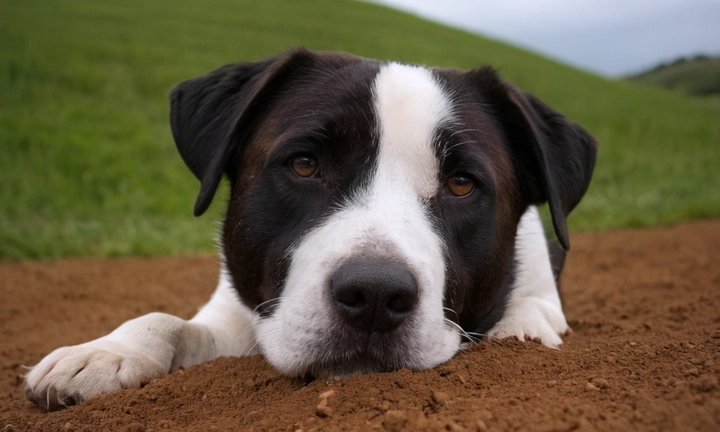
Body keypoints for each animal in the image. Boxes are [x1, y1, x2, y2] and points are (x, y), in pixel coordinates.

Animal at [22, 49, 596, 410]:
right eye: (304, 164)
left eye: (460, 184)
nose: (375, 294)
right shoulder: (236, 317)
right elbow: (166, 321)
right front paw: (105, 353)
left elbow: (523, 324)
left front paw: (514, 331)